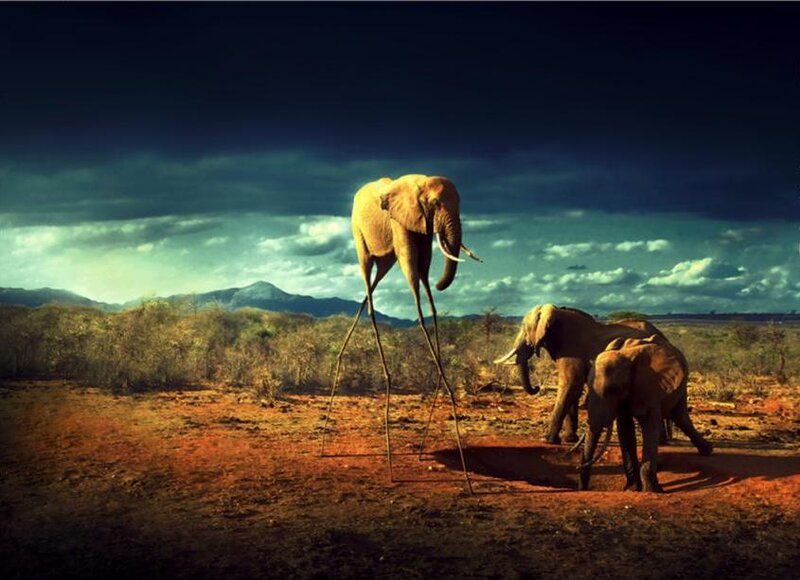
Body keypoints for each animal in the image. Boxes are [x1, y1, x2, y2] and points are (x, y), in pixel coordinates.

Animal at [494, 304, 669, 444]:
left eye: (524, 327)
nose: (536, 387)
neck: (556, 313)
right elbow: (573, 390)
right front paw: (570, 439)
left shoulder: (571, 350)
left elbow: (571, 385)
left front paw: (548, 440)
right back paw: (661, 441)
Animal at [579, 336, 713, 492]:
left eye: (613, 389)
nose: (583, 488)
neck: (627, 359)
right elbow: (625, 429)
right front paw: (632, 489)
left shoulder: (649, 387)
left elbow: (650, 426)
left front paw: (652, 490)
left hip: (682, 384)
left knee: (680, 416)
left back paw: (707, 450)